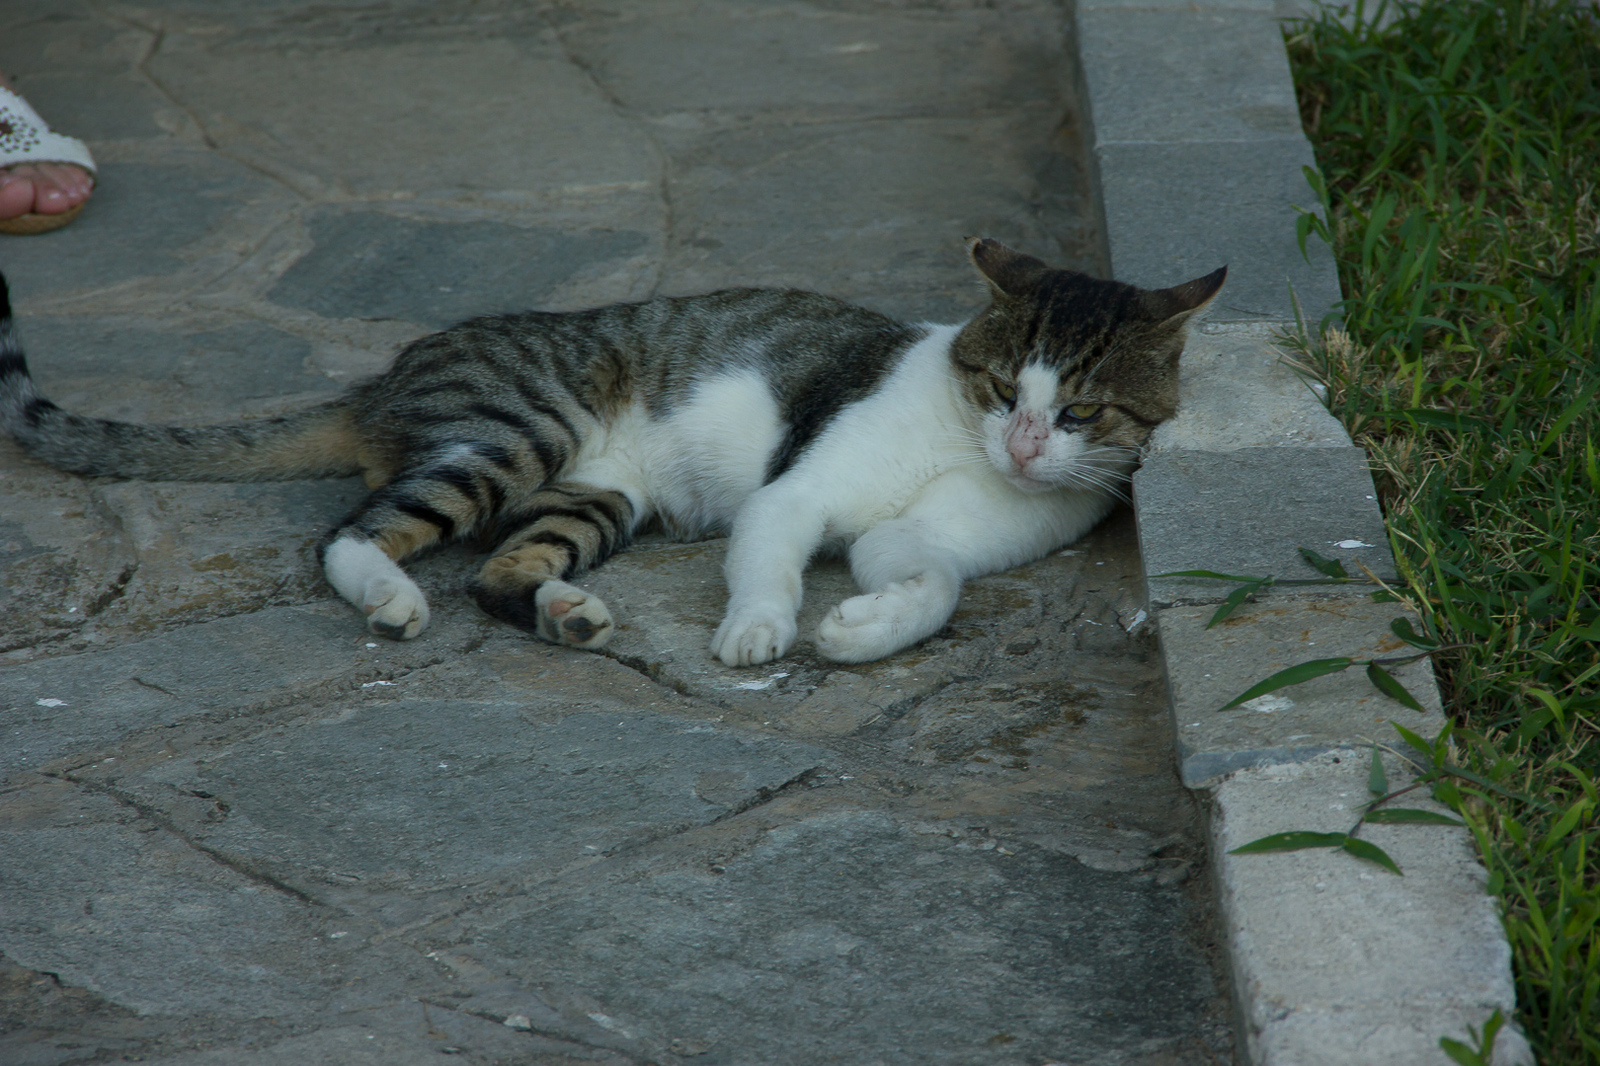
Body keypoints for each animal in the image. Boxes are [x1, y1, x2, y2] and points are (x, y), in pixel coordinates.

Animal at [3, 240, 1222, 665]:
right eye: (1002, 387)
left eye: (1082, 415)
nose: (1021, 444)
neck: (963, 453)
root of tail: (386, 377)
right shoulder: (798, 490)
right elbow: (771, 559)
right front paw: (759, 630)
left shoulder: (932, 539)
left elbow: (929, 582)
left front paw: (864, 625)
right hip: (516, 428)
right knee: (350, 532)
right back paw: (391, 596)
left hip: (593, 498)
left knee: (499, 571)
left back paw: (565, 614)